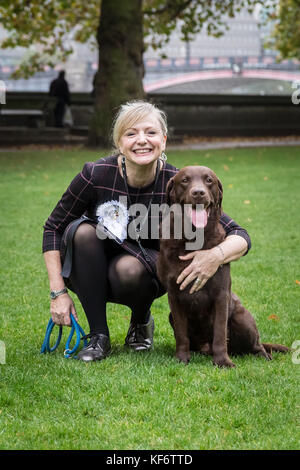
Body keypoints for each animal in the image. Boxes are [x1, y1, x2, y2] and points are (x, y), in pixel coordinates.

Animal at [157, 165, 288, 368]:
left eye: (208, 180)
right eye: (185, 180)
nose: (198, 193)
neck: (193, 239)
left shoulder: (221, 294)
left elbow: (219, 333)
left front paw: (223, 362)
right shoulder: (174, 295)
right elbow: (181, 333)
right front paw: (181, 358)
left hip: (241, 317)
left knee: (257, 345)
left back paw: (262, 356)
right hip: (173, 317)